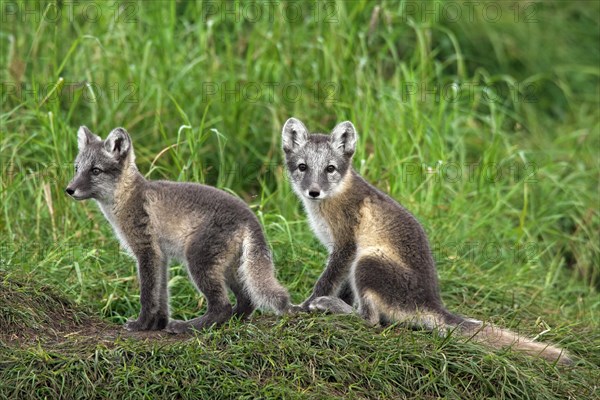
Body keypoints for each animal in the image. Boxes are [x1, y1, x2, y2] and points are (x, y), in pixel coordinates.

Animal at [66, 126, 290, 332]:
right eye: (77, 168)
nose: (69, 190)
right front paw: (157, 324)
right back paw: (229, 322)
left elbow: (148, 294)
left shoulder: (147, 251)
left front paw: (141, 324)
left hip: (198, 261)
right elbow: (161, 295)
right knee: (246, 301)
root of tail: (250, 216)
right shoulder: (161, 256)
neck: (127, 196)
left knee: (222, 307)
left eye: (95, 170)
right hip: (231, 268)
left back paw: (188, 326)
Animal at [282, 117, 572, 364]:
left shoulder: (347, 246)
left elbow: (327, 281)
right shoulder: (342, 254)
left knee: (371, 320)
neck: (332, 199)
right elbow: (341, 284)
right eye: (302, 167)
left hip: (369, 260)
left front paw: (305, 305)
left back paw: (331, 307)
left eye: (330, 168)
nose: (314, 191)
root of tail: (431, 304)